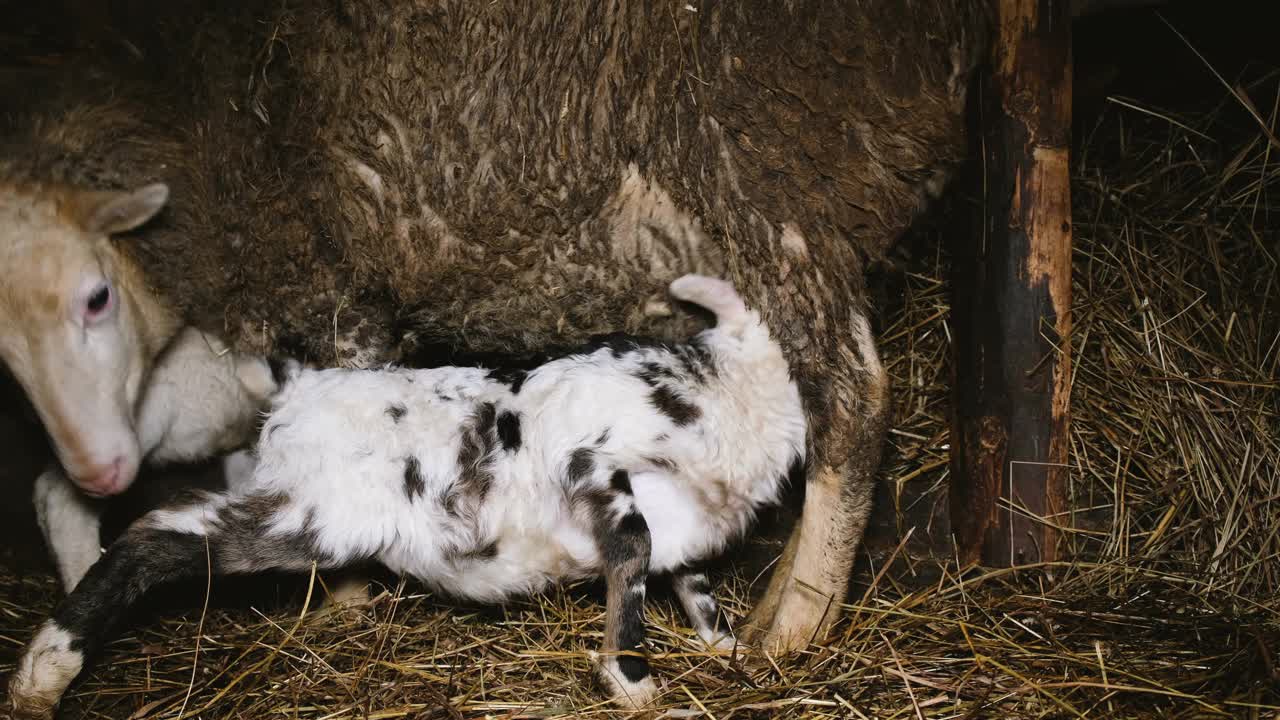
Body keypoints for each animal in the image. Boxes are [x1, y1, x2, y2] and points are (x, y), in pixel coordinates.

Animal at [0, 0, 988, 650]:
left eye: (96, 297)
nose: (101, 468)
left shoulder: (332, 279)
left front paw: (348, 598)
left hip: (768, 185)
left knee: (851, 400)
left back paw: (794, 624)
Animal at [10, 272, 803, 712]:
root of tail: (299, 390)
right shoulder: (593, 461)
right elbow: (632, 551)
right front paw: (633, 679)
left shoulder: (684, 532)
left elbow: (690, 580)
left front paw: (728, 648)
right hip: (313, 515)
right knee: (152, 533)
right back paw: (42, 676)